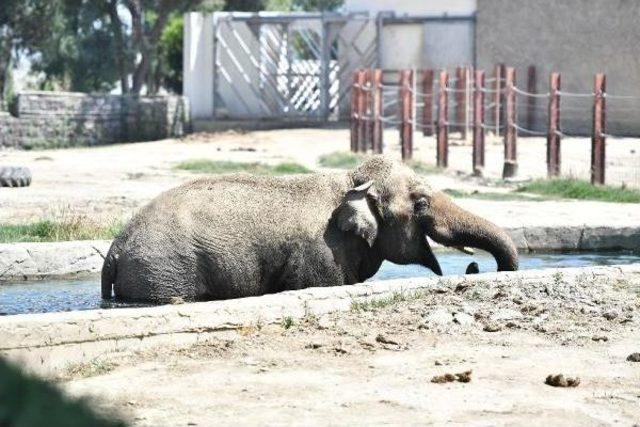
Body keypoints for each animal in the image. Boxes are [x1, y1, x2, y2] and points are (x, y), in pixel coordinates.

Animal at [101, 157, 520, 304]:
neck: (351, 180)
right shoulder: (320, 253)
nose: (475, 268)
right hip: (163, 272)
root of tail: (113, 251)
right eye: (420, 203)